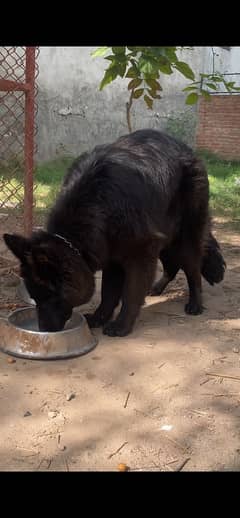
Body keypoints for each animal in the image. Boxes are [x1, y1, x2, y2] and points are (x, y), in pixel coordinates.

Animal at [3, 130, 225, 338]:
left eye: (50, 297)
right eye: (35, 298)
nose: (44, 330)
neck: (97, 205)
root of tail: (186, 149)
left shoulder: (141, 254)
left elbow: (131, 293)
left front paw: (122, 325)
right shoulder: (110, 254)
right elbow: (108, 294)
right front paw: (99, 318)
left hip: (185, 237)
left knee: (192, 270)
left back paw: (195, 304)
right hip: (166, 236)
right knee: (172, 264)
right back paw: (157, 288)